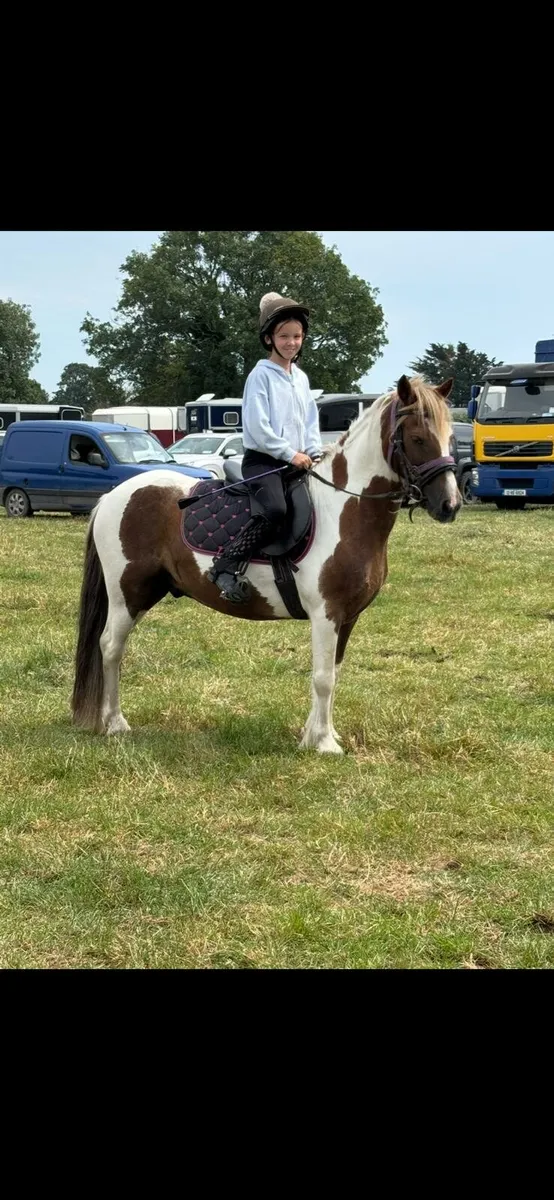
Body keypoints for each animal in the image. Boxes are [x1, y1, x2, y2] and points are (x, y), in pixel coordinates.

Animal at [71, 374, 461, 753]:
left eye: (450, 437)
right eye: (417, 438)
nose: (450, 505)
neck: (343, 510)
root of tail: (113, 496)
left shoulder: (347, 617)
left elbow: (333, 674)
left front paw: (317, 735)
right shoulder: (326, 613)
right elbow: (322, 678)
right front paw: (323, 744)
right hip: (128, 593)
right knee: (111, 647)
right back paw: (115, 723)